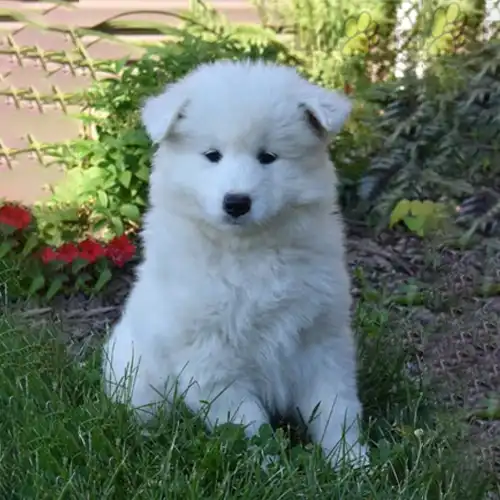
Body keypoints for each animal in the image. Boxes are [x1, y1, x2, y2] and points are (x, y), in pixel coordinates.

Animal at [101, 58, 368, 468]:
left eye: (267, 157)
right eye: (212, 155)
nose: (237, 202)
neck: (250, 250)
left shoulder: (321, 337)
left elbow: (335, 407)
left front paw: (351, 461)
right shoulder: (211, 356)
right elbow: (247, 423)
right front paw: (272, 468)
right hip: (137, 374)